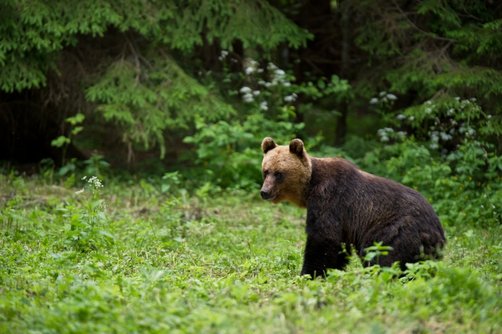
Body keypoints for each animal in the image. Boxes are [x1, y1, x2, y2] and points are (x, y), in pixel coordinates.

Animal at [260, 137, 446, 278]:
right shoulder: (344, 223)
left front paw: (308, 274)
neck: (309, 187)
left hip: (395, 229)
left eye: (279, 173)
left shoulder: (329, 200)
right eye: (266, 171)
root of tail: (438, 230)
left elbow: (323, 239)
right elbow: (338, 248)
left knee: (384, 257)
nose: (264, 192)